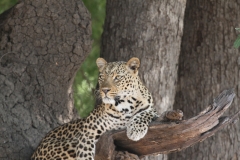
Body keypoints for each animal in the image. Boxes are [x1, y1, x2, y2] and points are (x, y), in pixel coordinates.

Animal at [31, 57, 159, 160]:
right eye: (102, 77)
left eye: (117, 77)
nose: (104, 90)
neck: (125, 105)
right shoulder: (88, 131)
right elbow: (84, 152)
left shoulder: (153, 111)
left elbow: (145, 113)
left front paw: (135, 130)